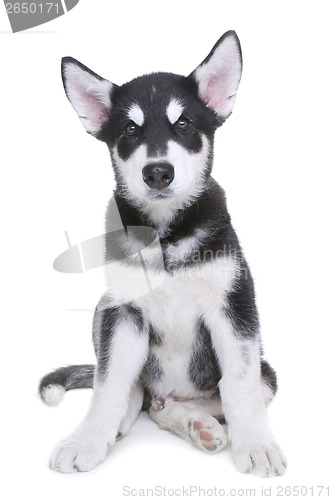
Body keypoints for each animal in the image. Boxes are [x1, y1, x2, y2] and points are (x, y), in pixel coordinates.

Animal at [40, 30, 286, 476]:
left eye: (184, 124)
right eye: (130, 129)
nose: (157, 172)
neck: (166, 235)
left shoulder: (234, 306)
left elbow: (239, 384)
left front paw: (257, 446)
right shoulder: (123, 312)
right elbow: (108, 383)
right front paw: (88, 439)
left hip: (267, 373)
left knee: (187, 402)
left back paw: (199, 424)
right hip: (102, 309)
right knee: (140, 394)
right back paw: (131, 422)